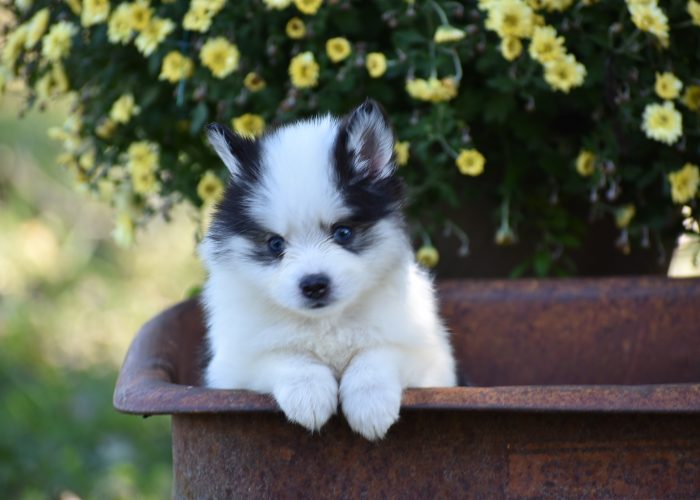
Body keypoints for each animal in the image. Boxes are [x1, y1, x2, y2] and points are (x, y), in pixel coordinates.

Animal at [200, 99, 456, 440]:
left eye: (343, 232)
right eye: (275, 244)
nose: (314, 285)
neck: (326, 324)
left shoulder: (429, 357)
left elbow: (378, 352)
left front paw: (370, 403)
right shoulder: (234, 365)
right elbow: (283, 354)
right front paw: (309, 393)